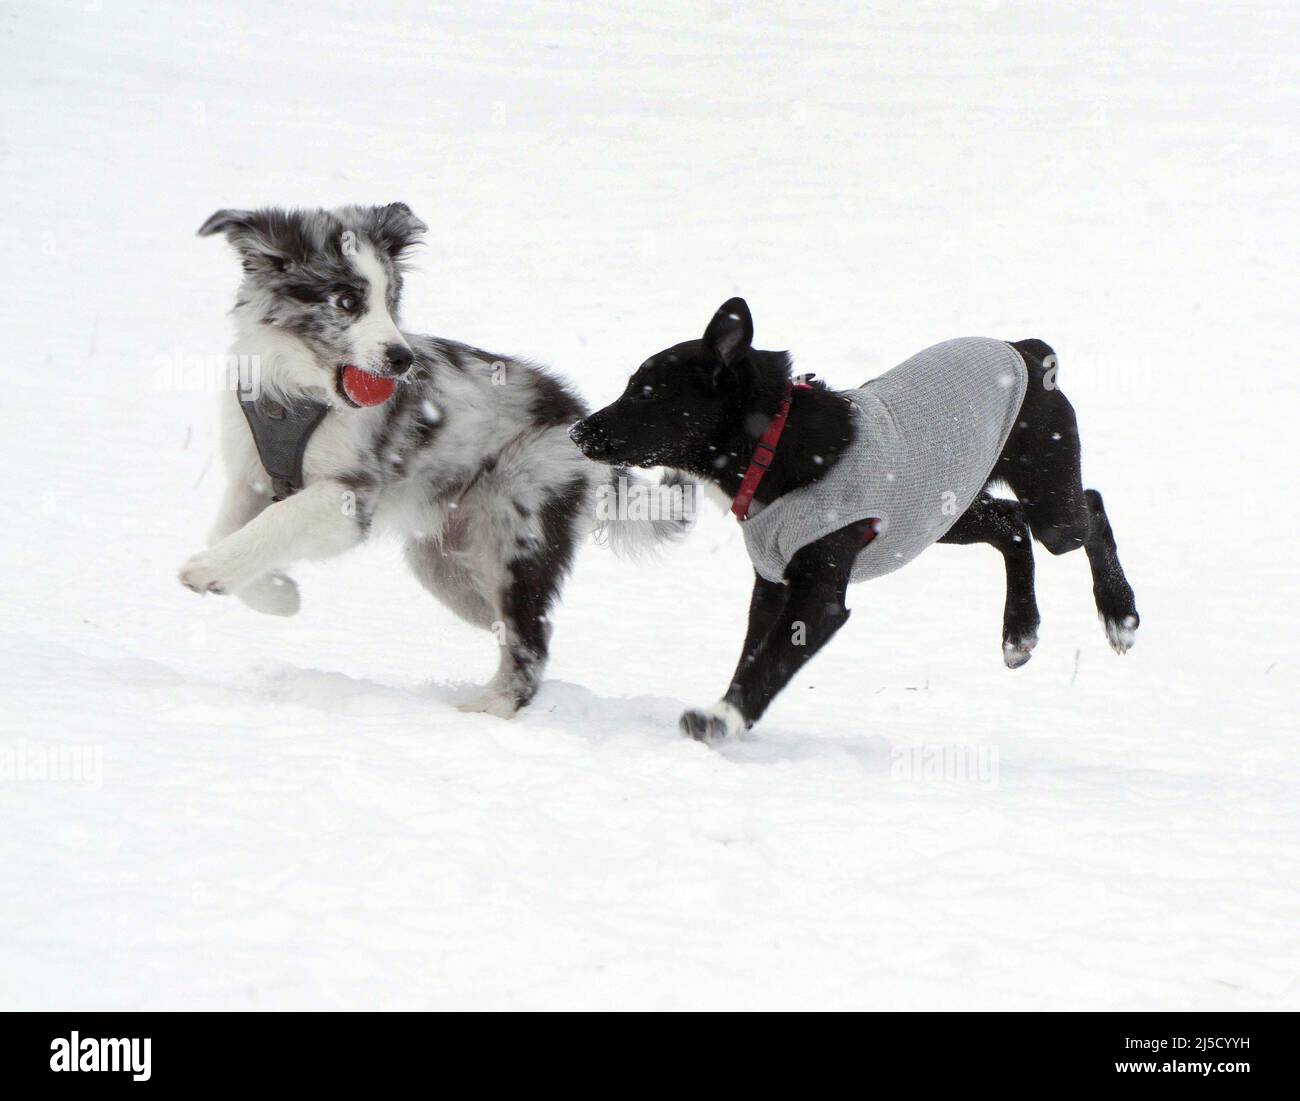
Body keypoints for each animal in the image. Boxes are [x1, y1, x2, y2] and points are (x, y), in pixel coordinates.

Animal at [572, 298, 1138, 738]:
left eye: (645, 394)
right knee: (1011, 525)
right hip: (939, 515)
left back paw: (1119, 615)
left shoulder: (818, 595)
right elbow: (754, 653)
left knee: (1089, 508)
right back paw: (1019, 632)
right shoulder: (772, 583)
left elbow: (772, 660)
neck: (772, 443)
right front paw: (735, 715)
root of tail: (1027, 351)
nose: (579, 431)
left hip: (1048, 501)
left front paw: (721, 719)